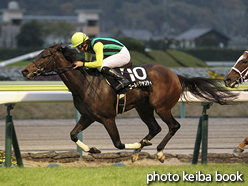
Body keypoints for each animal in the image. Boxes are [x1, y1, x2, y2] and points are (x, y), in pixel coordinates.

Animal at [22, 43, 236, 163]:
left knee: (173, 126)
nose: (24, 71)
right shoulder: (88, 116)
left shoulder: (108, 118)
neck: (85, 83)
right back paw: (139, 150)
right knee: (155, 128)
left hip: (161, 106)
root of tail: (175, 75)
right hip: (144, 108)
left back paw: (158, 152)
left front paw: (135, 145)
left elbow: (118, 143)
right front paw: (93, 149)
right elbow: (73, 134)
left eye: (43, 56)